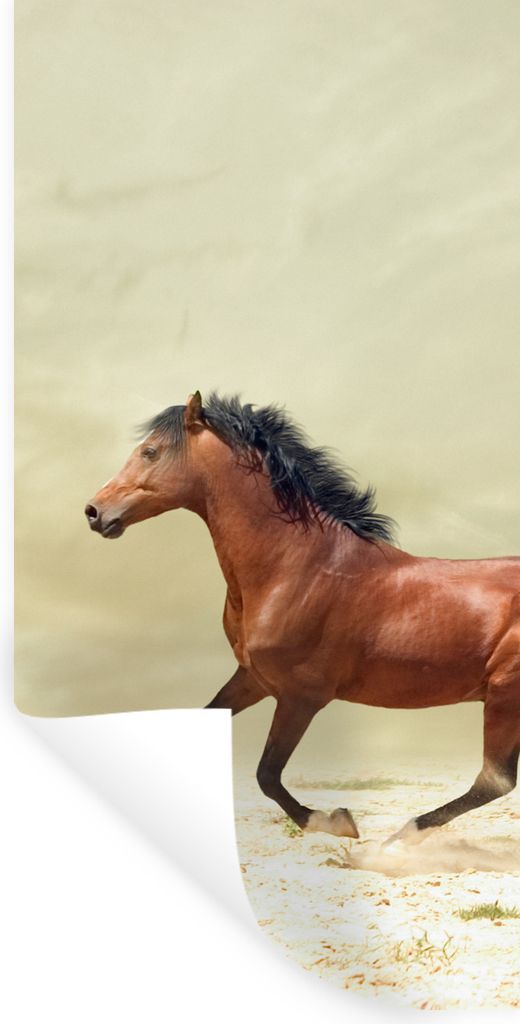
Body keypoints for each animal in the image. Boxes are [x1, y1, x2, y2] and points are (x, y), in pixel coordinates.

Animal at [85, 391, 520, 846]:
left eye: (150, 452)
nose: (94, 511)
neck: (295, 567)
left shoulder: (302, 696)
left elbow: (267, 775)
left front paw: (335, 822)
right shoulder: (253, 678)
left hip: (505, 696)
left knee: (494, 780)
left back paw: (400, 837)